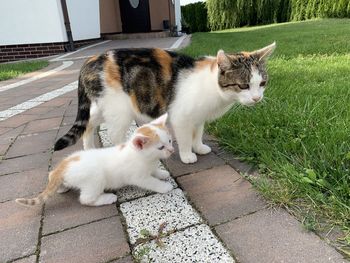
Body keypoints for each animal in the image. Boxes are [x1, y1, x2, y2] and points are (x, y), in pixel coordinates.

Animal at [54, 42, 276, 163]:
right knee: (113, 134)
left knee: (88, 123)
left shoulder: (199, 117)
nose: (257, 98)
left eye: (262, 83)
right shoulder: (181, 116)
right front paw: (187, 155)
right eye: (243, 85)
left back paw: (88, 148)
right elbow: (184, 138)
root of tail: (90, 59)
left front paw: (199, 147)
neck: (214, 89)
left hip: (105, 106)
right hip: (119, 110)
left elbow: (198, 133)